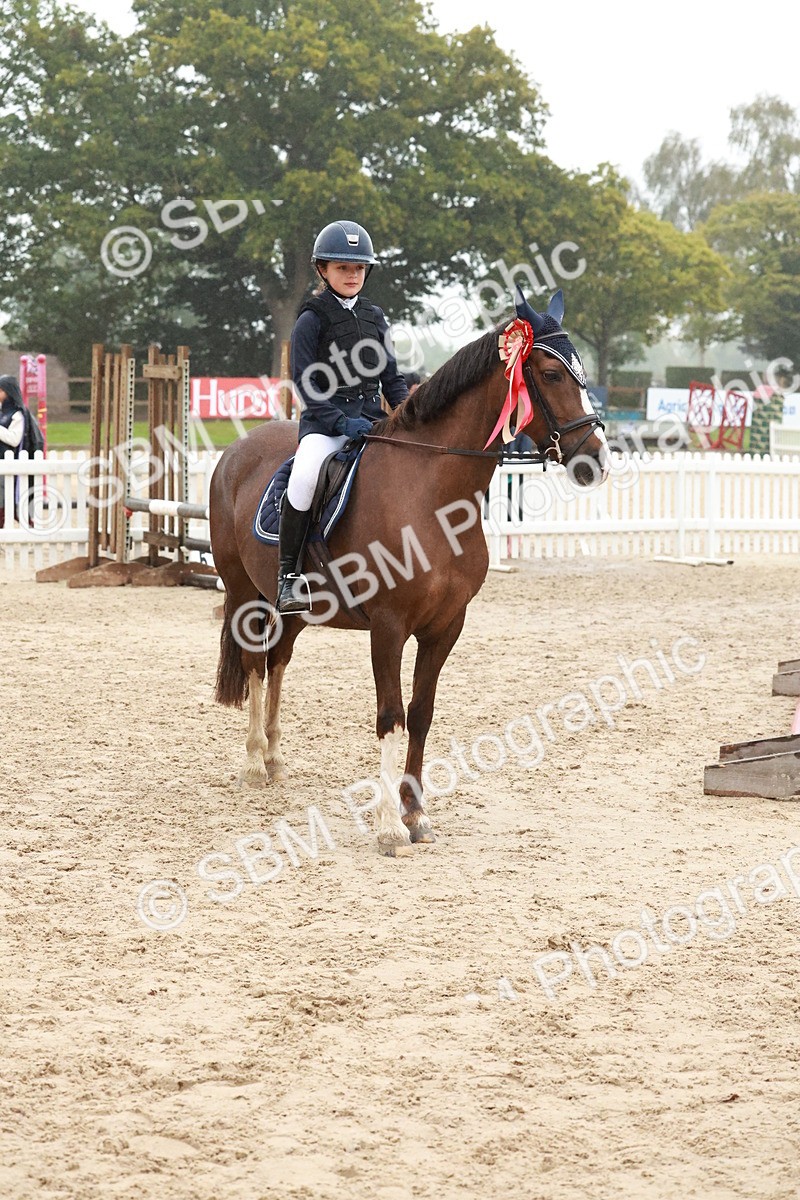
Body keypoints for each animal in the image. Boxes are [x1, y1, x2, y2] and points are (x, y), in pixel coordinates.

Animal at [209, 290, 609, 855]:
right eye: (552, 374)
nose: (596, 459)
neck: (433, 492)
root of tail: (238, 450)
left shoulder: (445, 626)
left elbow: (421, 713)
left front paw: (416, 813)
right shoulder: (388, 626)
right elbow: (390, 716)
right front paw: (388, 828)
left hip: (295, 609)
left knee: (278, 660)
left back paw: (273, 757)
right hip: (245, 593)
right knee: (253, 665)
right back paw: (251, 765)